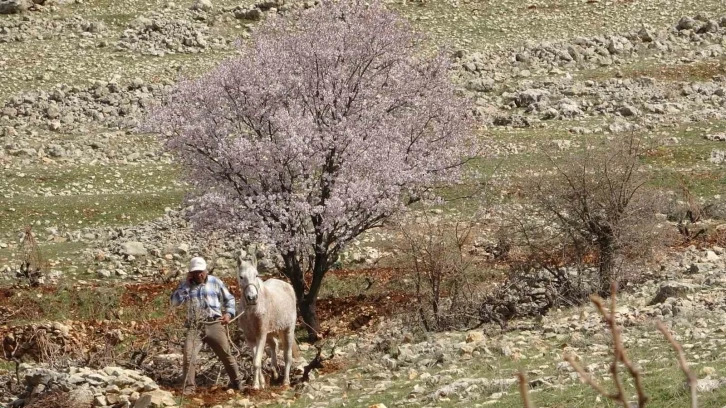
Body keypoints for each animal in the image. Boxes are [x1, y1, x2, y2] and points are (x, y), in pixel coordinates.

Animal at [237, 255, 298, 388]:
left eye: (256, 275)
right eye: (241, 277)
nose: (252, 298)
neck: (252, 311)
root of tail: (287, 285)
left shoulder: (261, 335)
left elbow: (256, 362)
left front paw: (255, 386)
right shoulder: (250, 338)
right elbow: (256, 360)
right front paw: (262, 383)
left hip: (288, 330)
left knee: (287, 355)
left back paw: (286, 381)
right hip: (270, 333)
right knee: (274, 345)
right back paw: (274, 372)